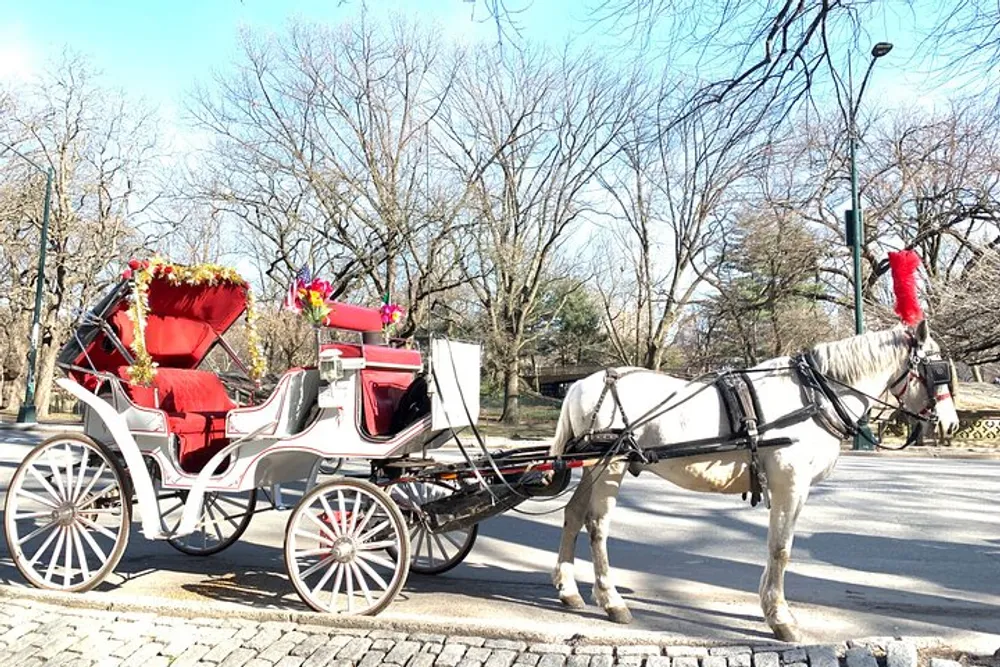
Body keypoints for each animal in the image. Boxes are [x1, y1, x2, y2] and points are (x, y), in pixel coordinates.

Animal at [548, 324, 960, 640]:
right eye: (938, 369)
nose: (951, 423)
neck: (814, 397)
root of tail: (582, 383)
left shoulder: (794, 489)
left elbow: (779, 546)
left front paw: (771, 607)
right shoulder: (790, 484)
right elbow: (781, 549)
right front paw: (780, 617)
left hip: (593, 466)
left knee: (573, 514)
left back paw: (569, 590)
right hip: (610, 467)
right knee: (597, 526)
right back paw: (611, 600)